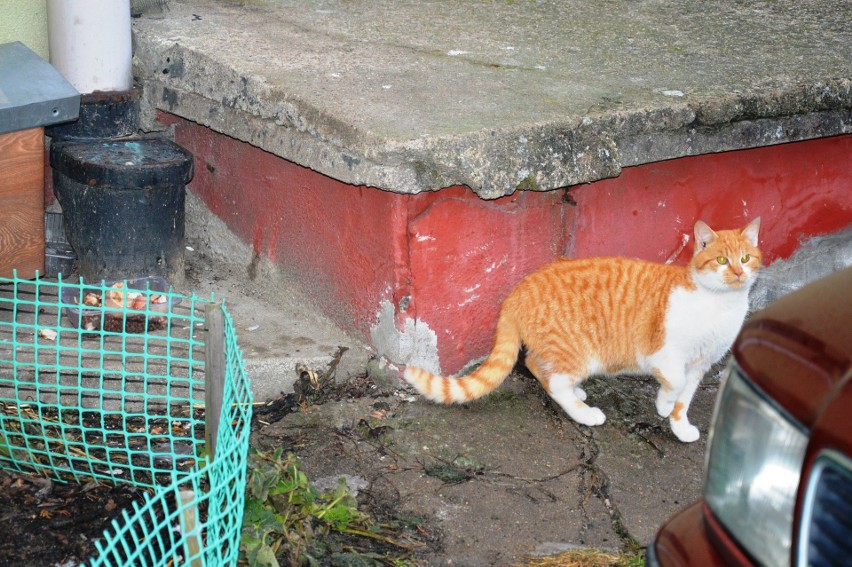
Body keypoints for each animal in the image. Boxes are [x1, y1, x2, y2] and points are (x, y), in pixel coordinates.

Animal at [402, 217, 764, 444]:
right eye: (721, 260)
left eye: (746, 258)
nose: (737, 273)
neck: (719, 305)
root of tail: (519, 289)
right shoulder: (665, 355)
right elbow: (673, 385)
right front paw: (663, 405)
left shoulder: (700, 366)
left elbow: (684, 399)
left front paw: (679, 426)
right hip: (580, 354)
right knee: (555, 381)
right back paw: (585, 414)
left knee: (536, 366)